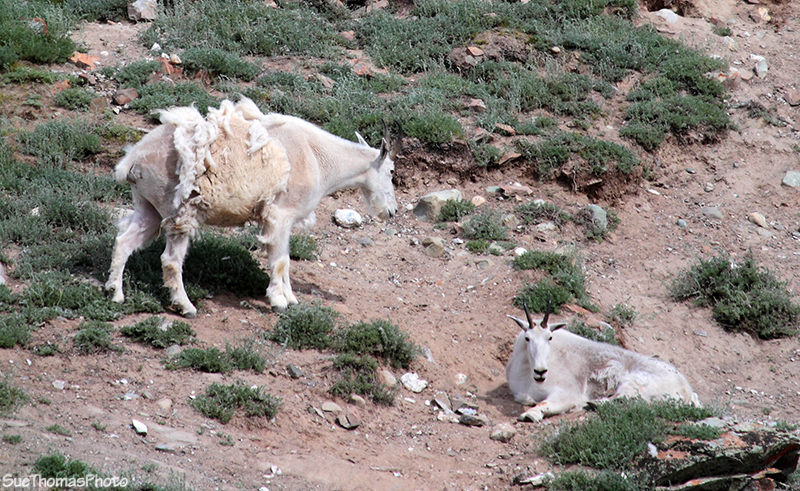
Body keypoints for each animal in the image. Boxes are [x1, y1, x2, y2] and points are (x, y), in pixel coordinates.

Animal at [106, 97, 400, 317]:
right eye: (391, 170)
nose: (392, 211)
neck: (318, 158)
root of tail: (132, 160)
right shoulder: (280, 215)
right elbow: (279, 261)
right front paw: (278, 301)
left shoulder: (285, 221)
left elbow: (286, 260)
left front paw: (290, 298)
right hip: (178, 209)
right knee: (170, 259)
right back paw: (186, 306)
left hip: (148, 206)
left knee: (125, 240)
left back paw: (115, 293)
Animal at [505, 300, 699, 422]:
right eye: (528, 338)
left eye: (550, 337)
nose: (541, 372)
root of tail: (688, 391)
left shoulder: (568, 393)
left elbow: (545, 403)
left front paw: (530, 415)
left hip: (636, 383)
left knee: (627, 399)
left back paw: (592, 403)